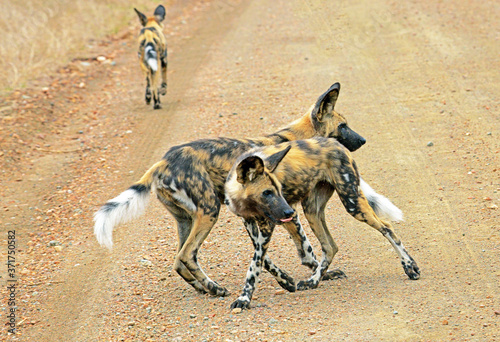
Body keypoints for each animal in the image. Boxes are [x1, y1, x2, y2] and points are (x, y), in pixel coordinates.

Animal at [94, 82, 368, 296]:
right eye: (343, 126)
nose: (363, 140)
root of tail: (163, 162)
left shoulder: (260, 214)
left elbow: (268, 254)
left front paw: (297, 278)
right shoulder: (285, 212)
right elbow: (307, 249)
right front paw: (319, 274)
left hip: (186, 219)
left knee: (179, 260)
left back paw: (205, 288)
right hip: (209, 211)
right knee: (186, 255)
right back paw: (215, 288)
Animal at [226, 137, 418, 310]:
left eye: (280, 190)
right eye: (267, 193)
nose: (289, 212)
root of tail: (334, 141)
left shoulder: (269, 225)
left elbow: (255, 266)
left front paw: (244, 299)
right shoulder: (249, 223)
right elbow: (263, 260)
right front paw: (286, 281)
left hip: (352, 203)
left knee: (387, 227)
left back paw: (410, 267)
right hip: (312, 211)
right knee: (330, 247)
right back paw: (313, 281)